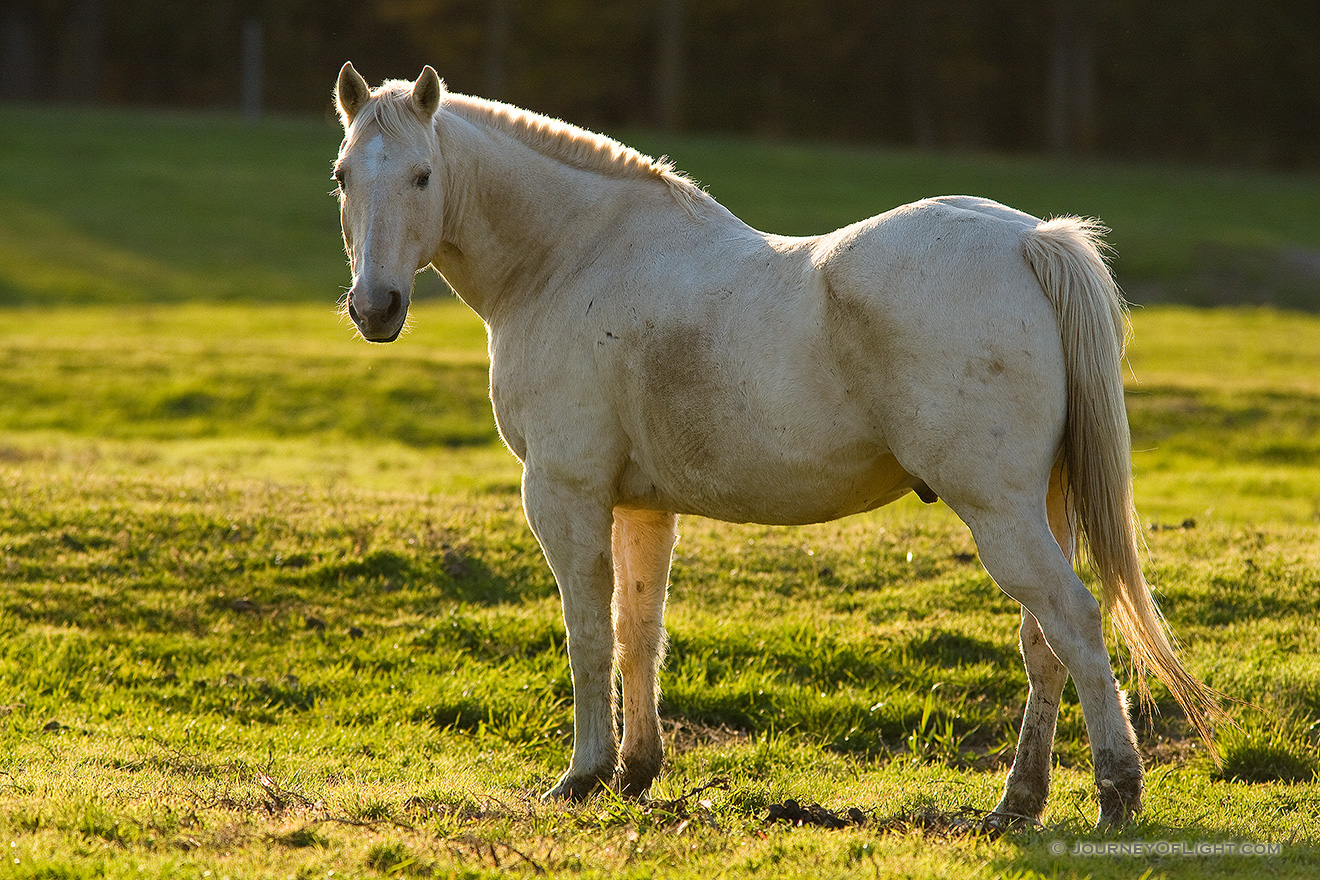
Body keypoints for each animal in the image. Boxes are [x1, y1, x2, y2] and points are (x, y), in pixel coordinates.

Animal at [330, 63, 1214, 828]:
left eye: (422, 176)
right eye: (342, 176)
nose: (375, 307)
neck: (571, 259)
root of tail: (1030, 240)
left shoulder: (564, 491)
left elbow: (588, 632)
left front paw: (584, 775)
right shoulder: (642, 508)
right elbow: (638, 632)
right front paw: (637, 771)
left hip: (1000, 513)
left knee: (1075, 622)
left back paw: (1116, 794)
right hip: (1044, 507)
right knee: (1044, 645)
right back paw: (1018, 804)